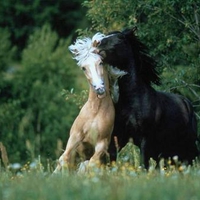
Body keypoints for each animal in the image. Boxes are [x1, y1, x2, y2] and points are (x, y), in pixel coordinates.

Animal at [53, 33, 125, 173]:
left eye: (101, 62)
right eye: (84, 68)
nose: (100, 89)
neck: (95, 111)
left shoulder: (102, 144)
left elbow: (91, 164)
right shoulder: (74, 138)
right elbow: (64, 158)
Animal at [96, 28, 199, 167]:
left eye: (120, 39)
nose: (98, 45)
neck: (131, 101)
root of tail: (187, 103)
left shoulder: (145, 140)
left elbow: (143, 165)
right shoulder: (118, 137)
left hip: (186, 144)